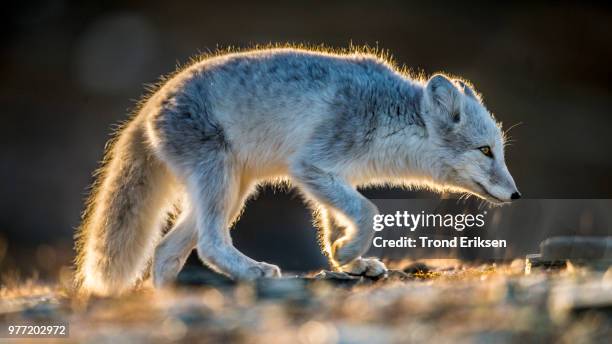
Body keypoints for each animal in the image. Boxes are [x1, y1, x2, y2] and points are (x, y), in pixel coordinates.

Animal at [74, 47, 520, 296]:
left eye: (499, 151)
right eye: (485, 151)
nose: (516, 194)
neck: (386, 113)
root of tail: (148, 108)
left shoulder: (331, 176)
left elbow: (335, 225)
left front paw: (348, 260)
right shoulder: (311, 165)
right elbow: (369, 212)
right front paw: (350, 254)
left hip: (233, 190)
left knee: (169, 251)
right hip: (220, 182)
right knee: (210, 244)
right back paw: (255, 271)